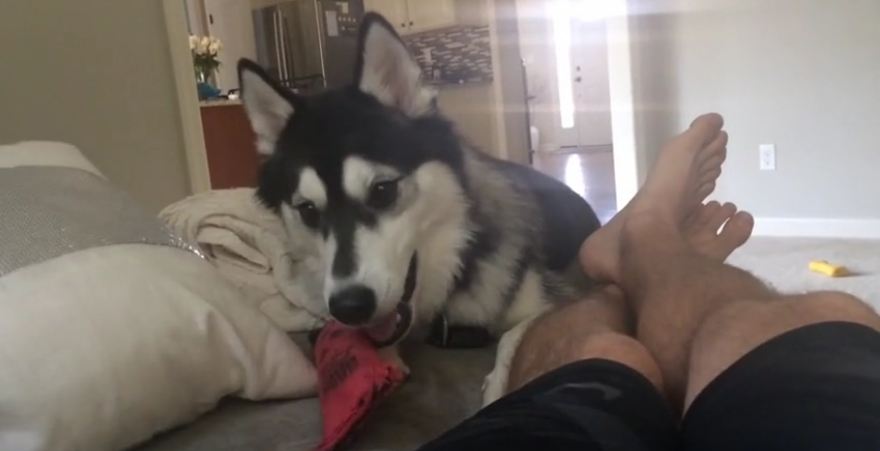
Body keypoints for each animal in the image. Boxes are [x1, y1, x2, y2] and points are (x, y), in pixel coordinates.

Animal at [237, 13, 600, 402]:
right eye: (307, 210)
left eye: (382, 190)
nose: (350, 307)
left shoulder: (565, 301)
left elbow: (515, 336)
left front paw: (498, 387)